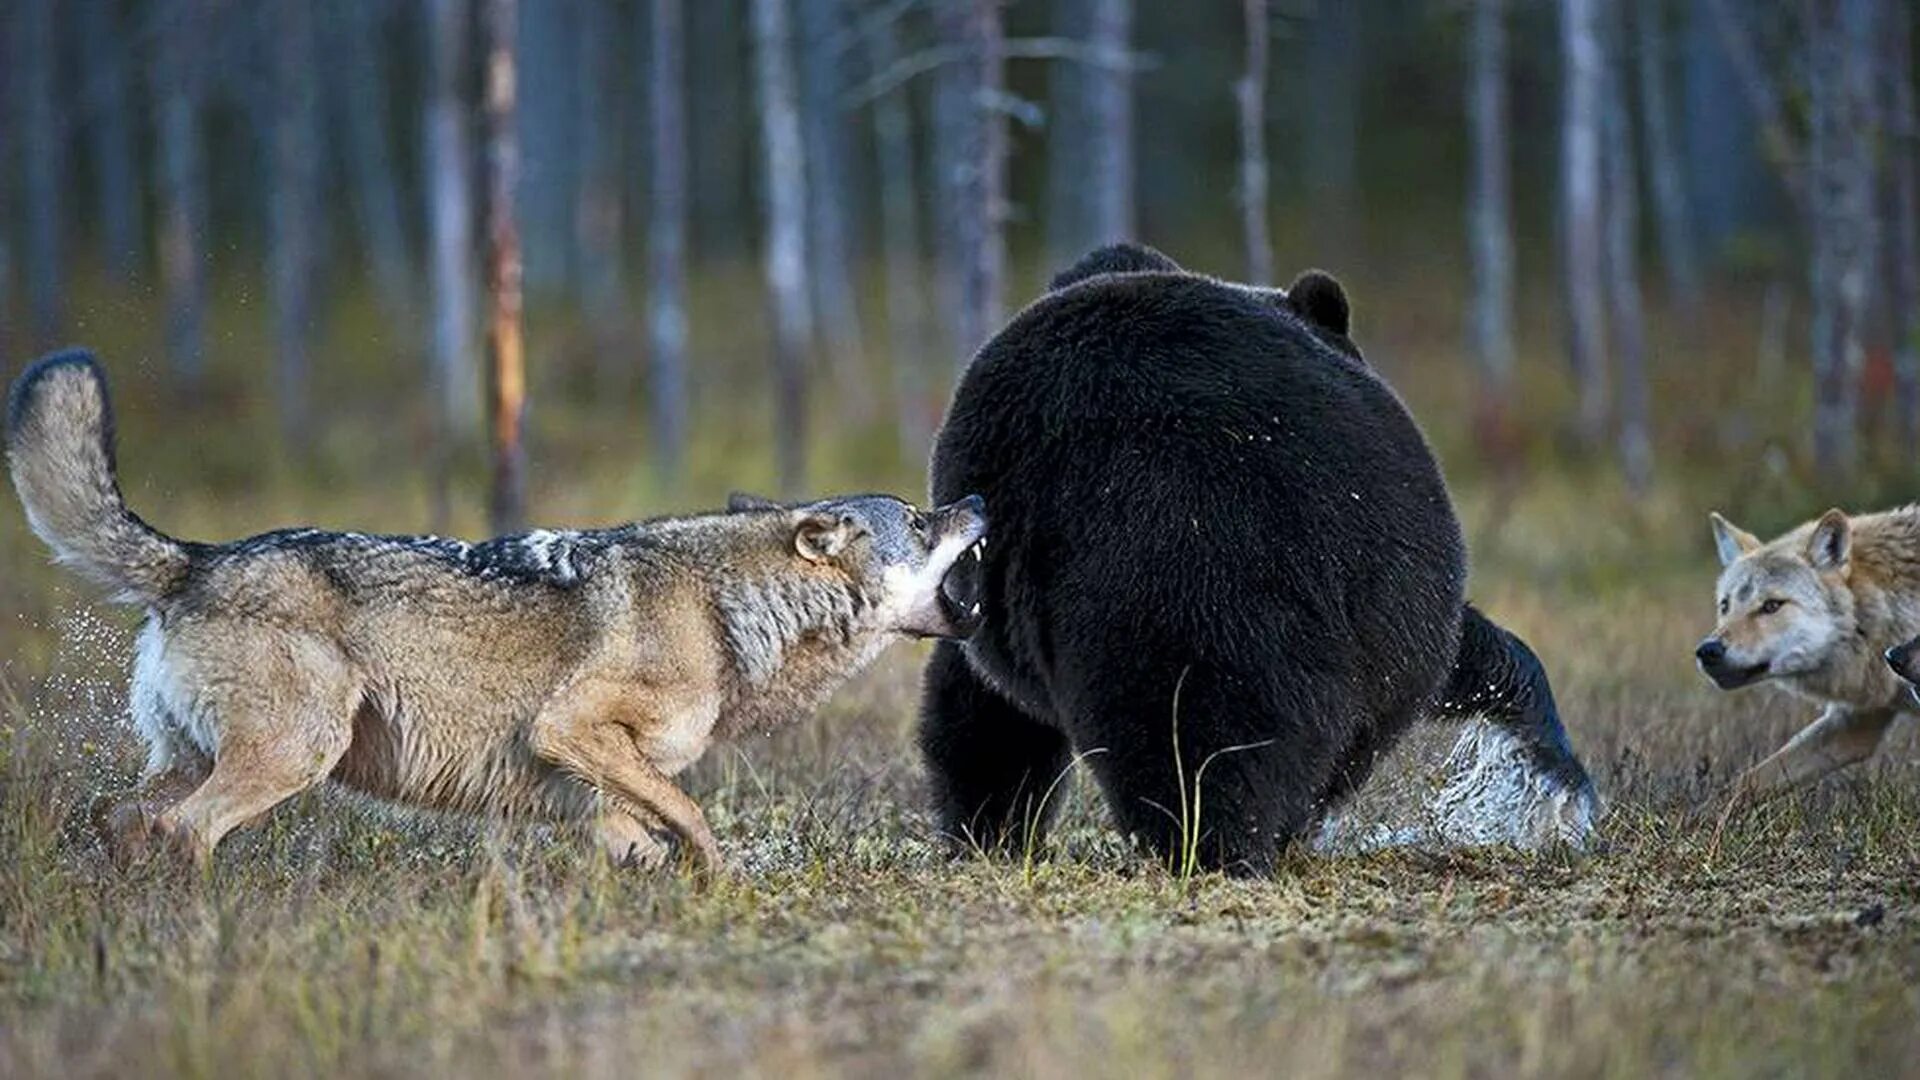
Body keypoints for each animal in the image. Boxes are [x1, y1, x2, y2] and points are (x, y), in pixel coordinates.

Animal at [3, 349, 990, 868]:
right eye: (918, 518)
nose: (978, 498)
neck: (724, 609)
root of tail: (196, 559)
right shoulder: (570, 730)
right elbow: (699, 822)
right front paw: (731, 885)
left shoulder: (590, 799)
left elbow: (656, 839)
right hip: (296, 753)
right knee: (182, 829)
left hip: (194, 761)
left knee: (125, 819)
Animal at [921, 244, 1597, 876]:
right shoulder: (1385, 603)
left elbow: (985, 714)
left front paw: (990, 829)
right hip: (1204, 571)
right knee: (1201, 725)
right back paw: (1219, 843)